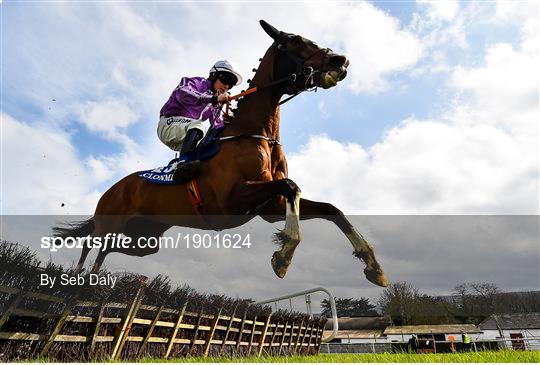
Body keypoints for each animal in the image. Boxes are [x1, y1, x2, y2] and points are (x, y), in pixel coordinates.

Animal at [54, 19, 388, 288]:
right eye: (294, 40)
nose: (340, 60)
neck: (257, 133)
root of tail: (113, 188)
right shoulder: (229, 202)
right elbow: (290, 186)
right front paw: (283, 257)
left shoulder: (269, 207)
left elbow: (332, 208)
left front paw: (374, 266)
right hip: (112, 223)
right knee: (93, 242)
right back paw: (79, 277)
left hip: (145, 238)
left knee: (108, 247)